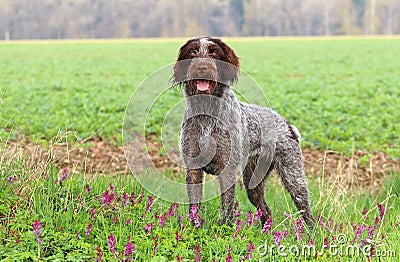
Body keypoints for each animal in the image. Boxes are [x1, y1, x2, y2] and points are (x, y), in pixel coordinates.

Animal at [173, 36, 314, 229]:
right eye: (193, 52)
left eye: (214, 53)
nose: (202, 67)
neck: (206, 111)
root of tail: (287, 124)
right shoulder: (193, 168)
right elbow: (194, 204)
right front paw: (193, 227)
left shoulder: (227, 170)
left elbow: (227, 206)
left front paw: (225, 229)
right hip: (253, 182)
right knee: (266, 211)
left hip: (293, 177)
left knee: (307, 212)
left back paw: (312, 234)